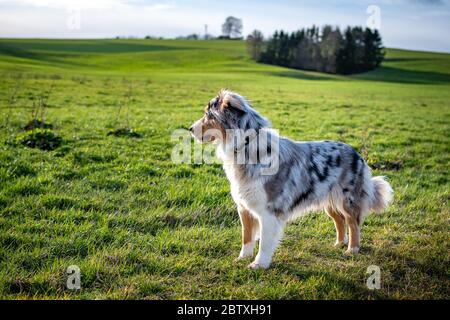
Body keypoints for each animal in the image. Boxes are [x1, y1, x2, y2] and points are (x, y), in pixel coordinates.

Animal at [188, 89, 392, 268]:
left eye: (208, 115)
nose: (189, 129)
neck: (246, 146)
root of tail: (356, 153)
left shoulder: (269, 211)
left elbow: (264, 242)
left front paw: (259, 264)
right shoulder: (244, 207)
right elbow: (246, 236)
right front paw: (242, 258)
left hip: (347, 200)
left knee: (353, 224)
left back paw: (352, 250)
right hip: (329, 202)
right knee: (339, 221)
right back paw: (339, 244)